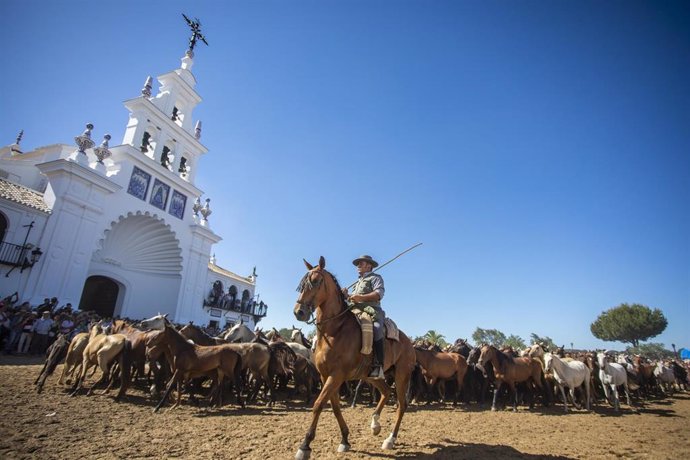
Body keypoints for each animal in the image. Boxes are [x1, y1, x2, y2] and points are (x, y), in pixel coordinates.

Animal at [292, 256, 414, 458]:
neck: (335, 330)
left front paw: (305, 446)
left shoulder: (336, 375)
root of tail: (409, 342)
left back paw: (390, 439)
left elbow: (318, 404)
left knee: (402, 404)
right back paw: (375, 424)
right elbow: (334, 407)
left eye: (315, 281)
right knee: (386, 392)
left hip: (402, 375)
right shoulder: (325, 376)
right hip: (372, 376)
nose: (299, 312)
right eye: (301, 284)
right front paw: (344, 440)